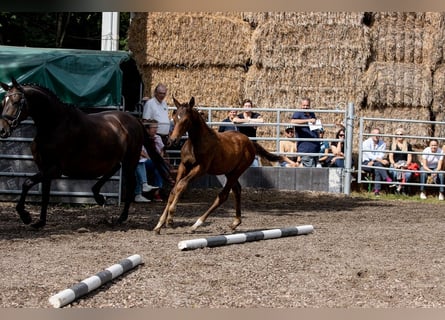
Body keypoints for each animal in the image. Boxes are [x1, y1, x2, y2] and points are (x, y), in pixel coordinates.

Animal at [0, 78, 170, 229]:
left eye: (16, 101)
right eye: (3, 102)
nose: (3, 130)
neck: (54, 125)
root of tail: (135, 120)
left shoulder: (54, 169)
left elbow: (26, 183)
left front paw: (25, 216)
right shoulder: (45, 168)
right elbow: (45, 195)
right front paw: (40, 222)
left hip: (131, 159)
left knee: (131, 183)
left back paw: (121, 217)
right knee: (114, 169)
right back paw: (99, 196)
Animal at [153, 96, 284, 234]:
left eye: (186, 120)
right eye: (174, 117)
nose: (172, 140)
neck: (197, 142)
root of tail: (250, 143)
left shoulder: (201, 168)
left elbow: (182, 185)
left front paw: (170, 218)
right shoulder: (183, 165)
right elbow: (174, 189)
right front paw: (159, 224)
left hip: (238, 170)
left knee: (223, 195)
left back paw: (196, 224)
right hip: (229, 171)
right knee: (237, 189)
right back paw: (235, 222)